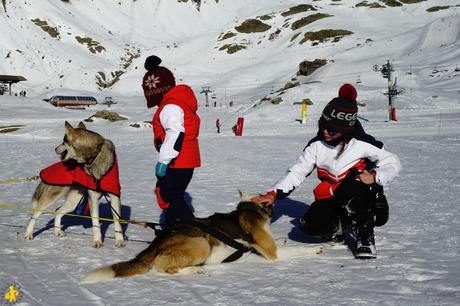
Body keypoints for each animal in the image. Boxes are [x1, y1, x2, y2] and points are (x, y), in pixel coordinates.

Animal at [81, 192, 322, 284]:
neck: (249, 208)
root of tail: (158, 240)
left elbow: (276, 241)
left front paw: (282, 238)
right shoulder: (272, 253)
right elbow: (295, 249)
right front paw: (317, 248)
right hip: (201, 243)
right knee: (162, 266)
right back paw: (193, 270)